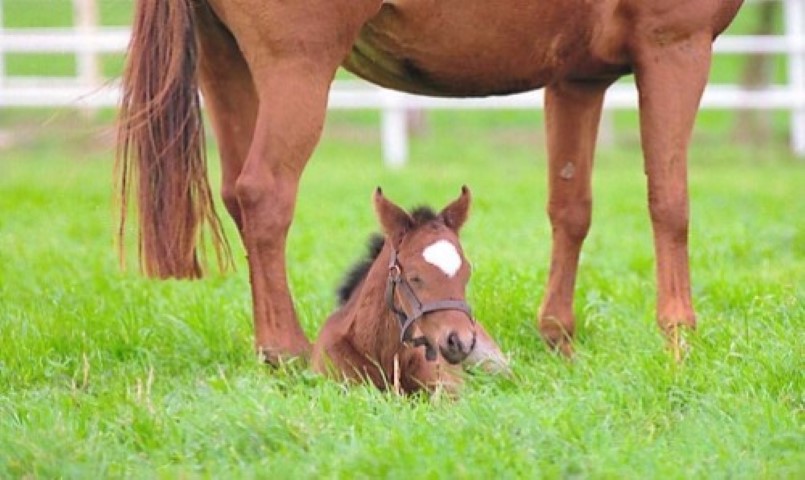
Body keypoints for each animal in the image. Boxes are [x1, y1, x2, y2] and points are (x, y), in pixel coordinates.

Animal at [114, 0, 740, 360]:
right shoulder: (673, 47)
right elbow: (669, 201)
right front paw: (679, 337)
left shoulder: (577, 79)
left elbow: (570, 209)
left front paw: (558, 338)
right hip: (296, 66)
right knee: (264, 194)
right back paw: (285, 350)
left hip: (224, 60)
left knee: (236, 197)